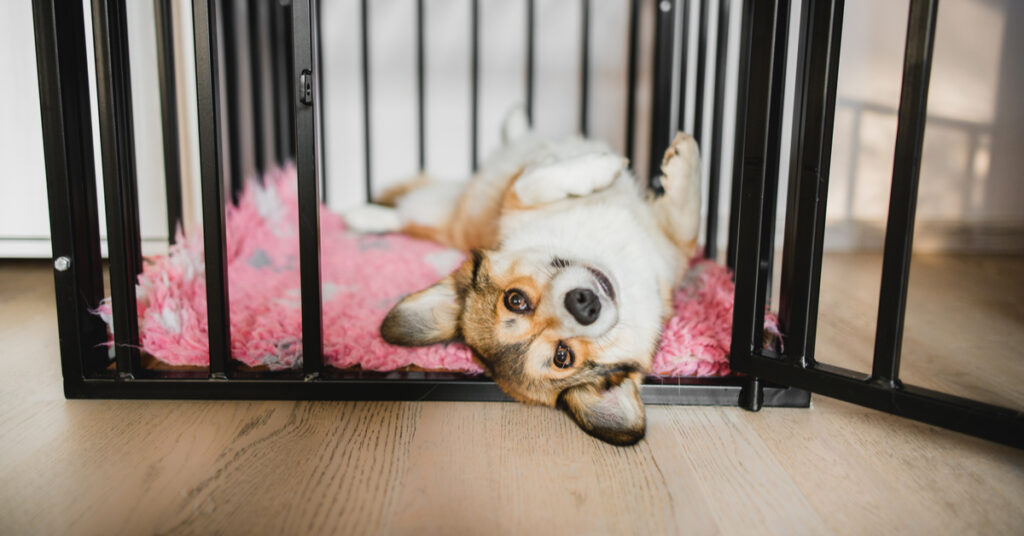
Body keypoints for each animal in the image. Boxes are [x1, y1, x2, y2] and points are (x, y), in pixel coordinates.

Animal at [346, 109, 704, 444]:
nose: (584, 306)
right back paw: (363, 216)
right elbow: (532, 181)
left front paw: (673, 162)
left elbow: (685, 217)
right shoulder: (515, 199)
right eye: (562, 357)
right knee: (406, 217)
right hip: (437, 212)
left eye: (514, 300)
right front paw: (621, 166)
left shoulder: (670, 248)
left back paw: (516, 122)